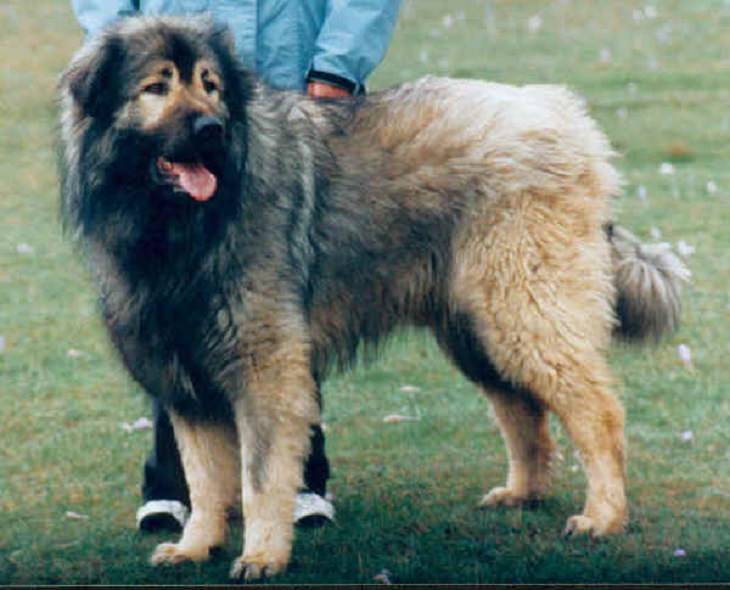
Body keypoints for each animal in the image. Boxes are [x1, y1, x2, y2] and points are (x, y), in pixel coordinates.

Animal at [58, 16, 688, 580]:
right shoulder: (185, 377)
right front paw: (196, 545)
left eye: (210, 85)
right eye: (157, 87)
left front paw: (262, 555)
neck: (183, 224)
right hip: (477, 330)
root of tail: (563, 114)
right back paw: (523, 493)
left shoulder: (265, 370)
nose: (212, 128)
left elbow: (260, 478)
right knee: (524, 411)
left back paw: (602, 516)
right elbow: (206, 479)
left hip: (523, 310)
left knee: (597, 412)